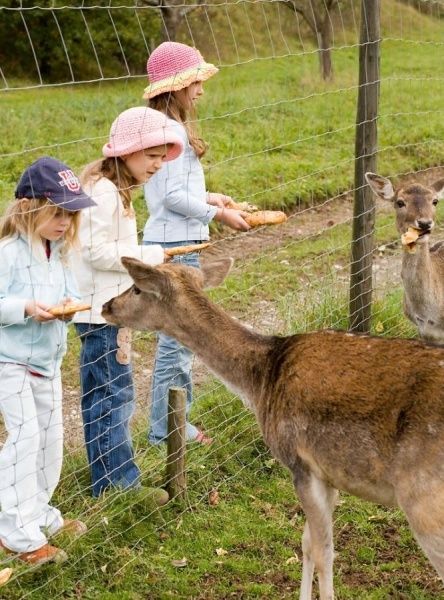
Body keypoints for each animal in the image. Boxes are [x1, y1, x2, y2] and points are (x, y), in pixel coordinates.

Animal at [101, 258, 444, 600]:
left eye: (136, 288)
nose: (106, 306)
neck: (260, 382)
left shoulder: (300, 462)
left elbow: (324, 553)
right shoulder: (329, 472)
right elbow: (307, 544)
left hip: (423, 502)